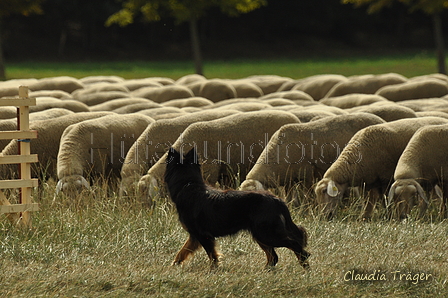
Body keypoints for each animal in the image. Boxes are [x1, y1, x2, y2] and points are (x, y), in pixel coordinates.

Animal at [164, 147, 312, 270]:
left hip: (266, 234)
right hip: (260, 235)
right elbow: (181, 253)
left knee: (296, 246)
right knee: (273, 257)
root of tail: (277, 200)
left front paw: (213, 270)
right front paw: (172, 267)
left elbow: (212, 255)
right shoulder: (195, 237)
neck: (188, 185)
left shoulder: (202, 235)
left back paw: (305, 269)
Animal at [314, 116, 448, 219]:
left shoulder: (386, 179)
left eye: (325, 191)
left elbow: (386, 199)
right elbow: (367, 202)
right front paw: (365, 217)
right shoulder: (366, 183)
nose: (324, 216)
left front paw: (390, 215)